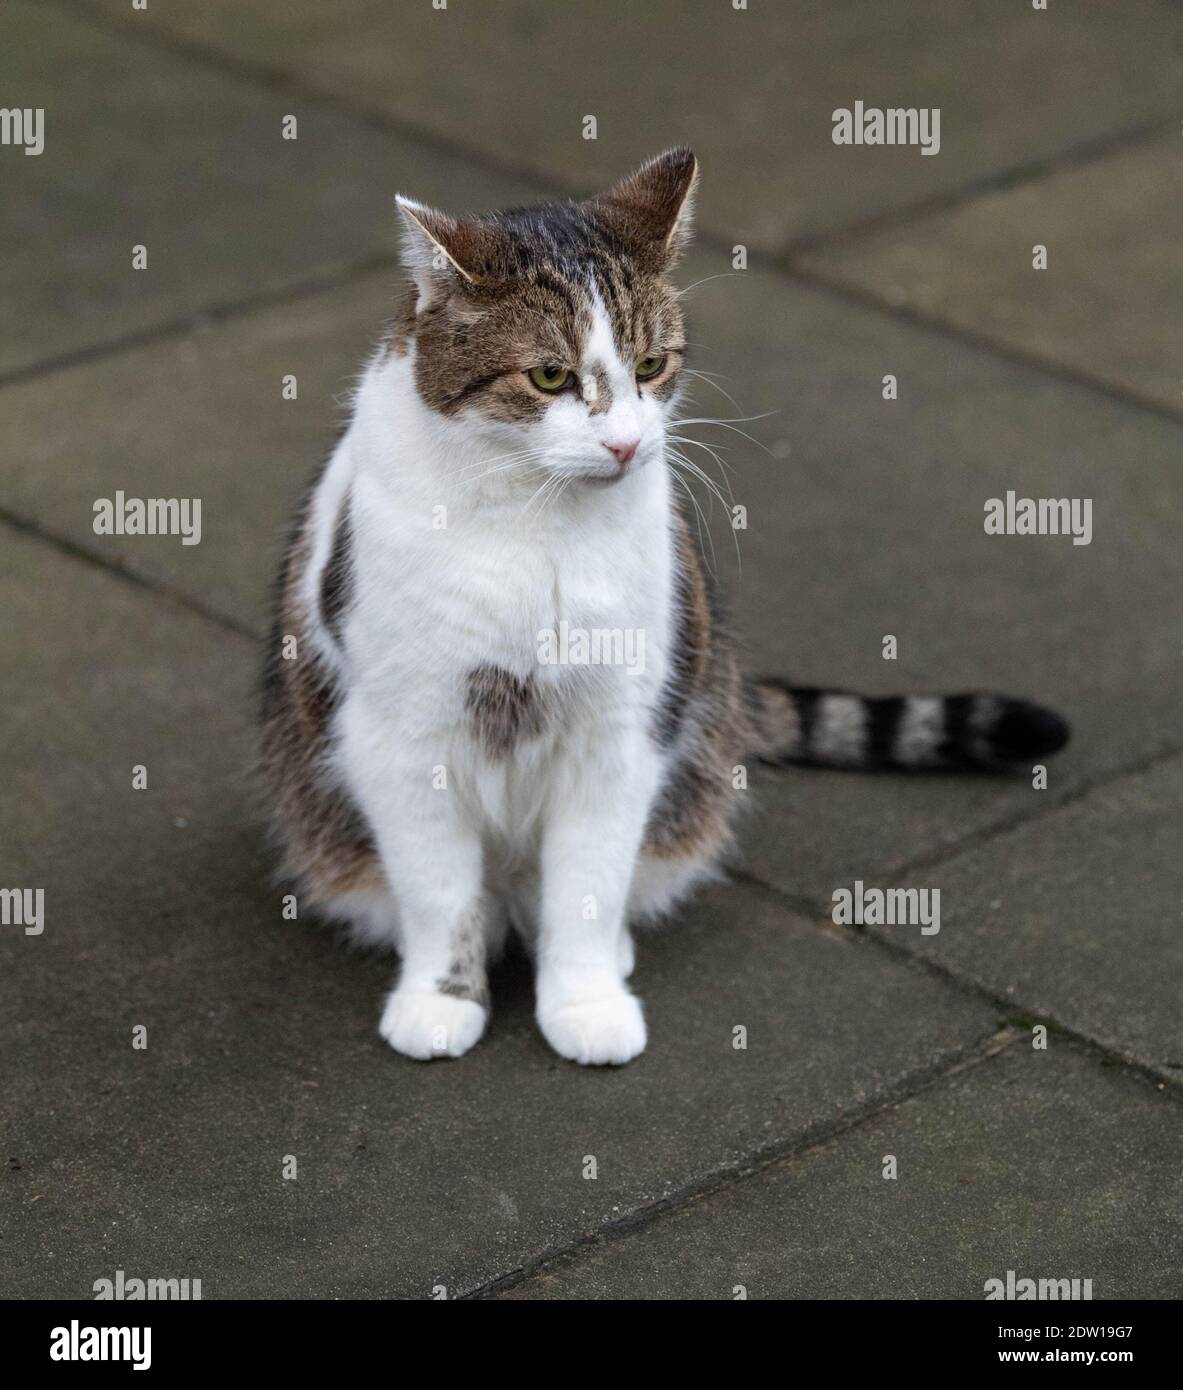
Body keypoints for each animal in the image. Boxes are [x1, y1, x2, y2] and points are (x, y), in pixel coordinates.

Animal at [261, 146, 1073, 1061]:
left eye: (650, 367)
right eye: (549, 376)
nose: (624, 444)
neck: (537, 524)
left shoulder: (620, 731)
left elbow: (587, 882)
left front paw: (584, 1004)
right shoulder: (401, 737)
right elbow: (440, 892)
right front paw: (441, 1001)